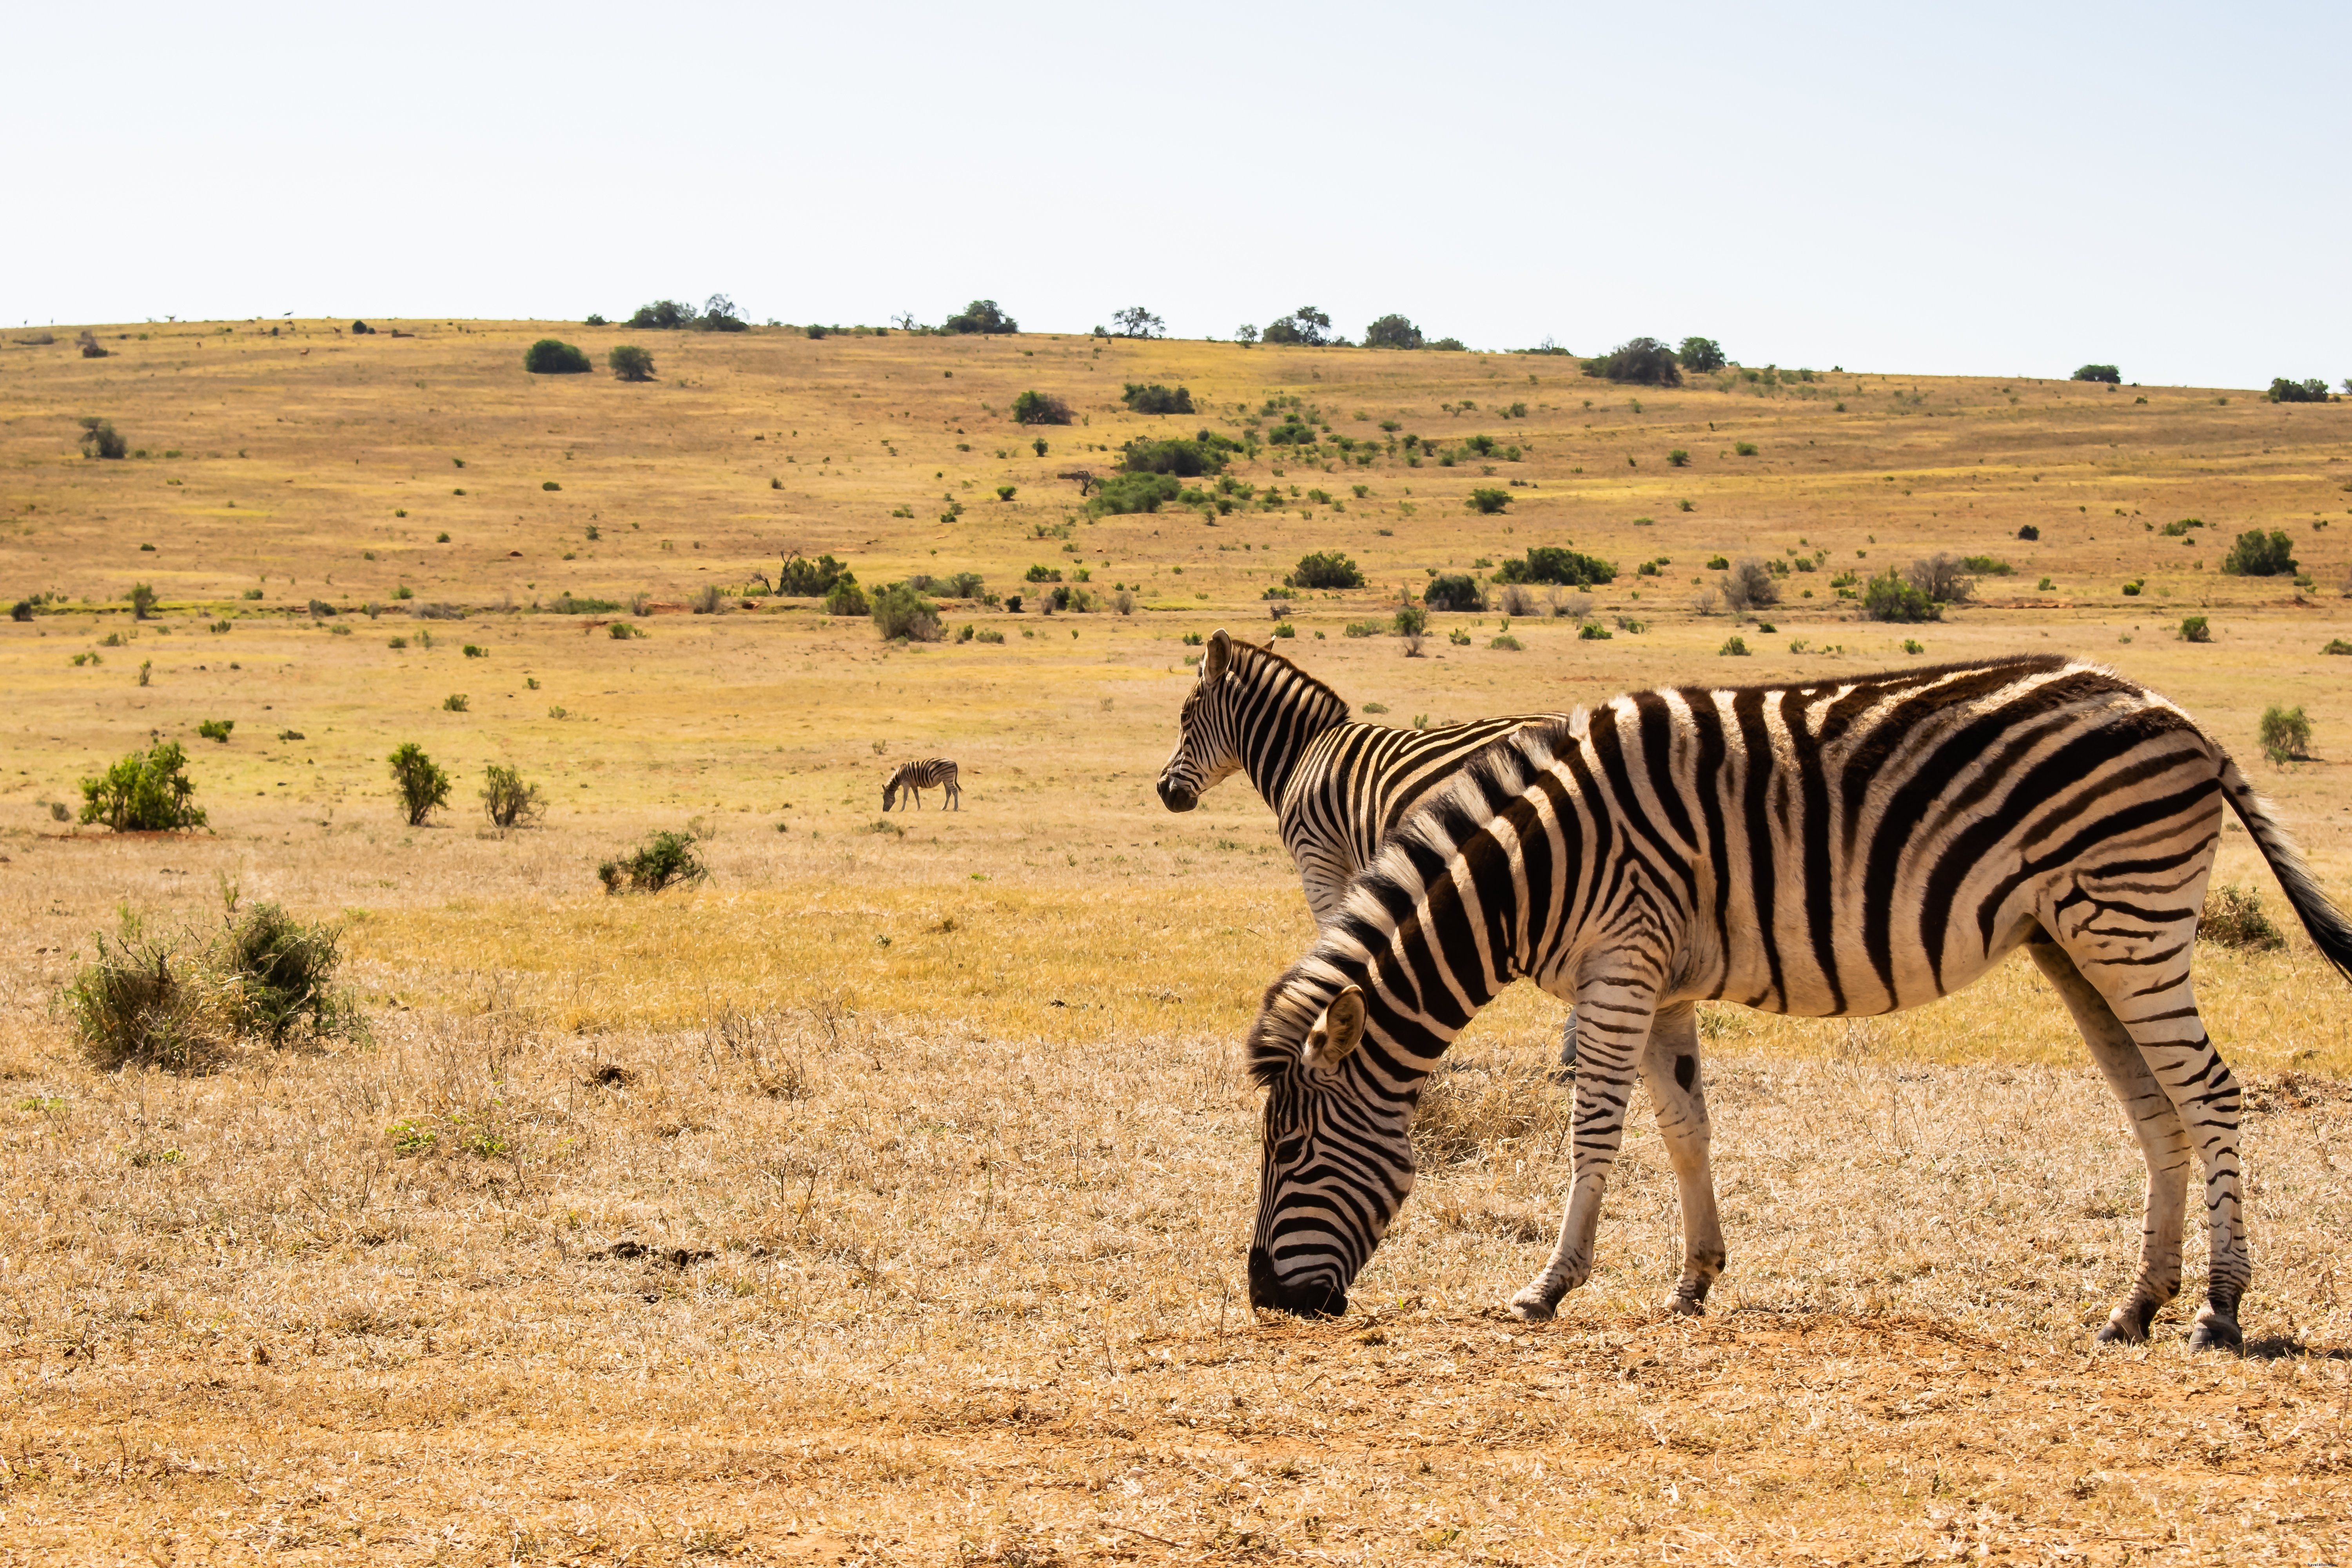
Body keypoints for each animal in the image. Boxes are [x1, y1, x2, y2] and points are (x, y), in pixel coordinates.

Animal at [882, 758, 960, 811]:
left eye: (884, 798)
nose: (884, 811)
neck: (899, 776)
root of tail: (954, 762)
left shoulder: (906, 784)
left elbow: (905, 797)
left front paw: (902, 809)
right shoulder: (914, 785)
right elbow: (917, 796)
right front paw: (919, 808)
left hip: (948, 779)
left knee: (955, 791)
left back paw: (955, 808)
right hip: (945, 780)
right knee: (949, 793)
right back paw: (944, 808)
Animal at [1242, 656, 2352, 1351]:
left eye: (1289, 1149)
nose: (1266, 1298)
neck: (1534, 867)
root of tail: (2185, 718)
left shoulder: (1620, 959)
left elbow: (1594, 1128)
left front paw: (1550, 1285)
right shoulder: (1662, 977)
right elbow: (1686, 1126)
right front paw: (1693, 1279)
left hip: (2132, 921)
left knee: (2210, 1093)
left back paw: (2219, 1309)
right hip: (2078, 942)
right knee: (2157, 1106)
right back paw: (2135, 1306)